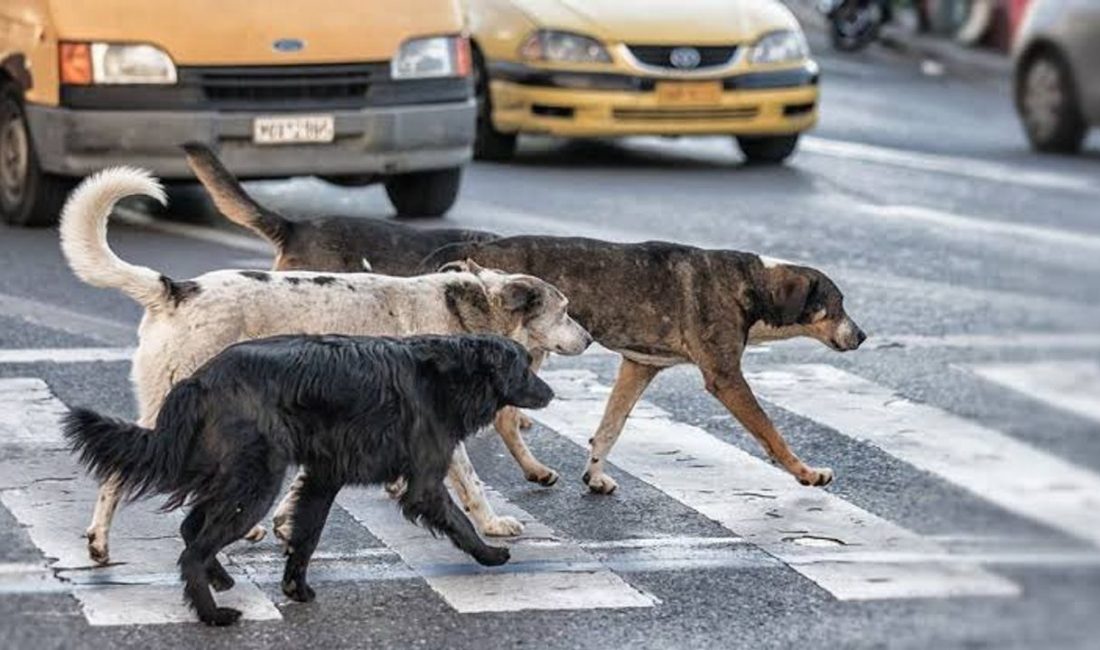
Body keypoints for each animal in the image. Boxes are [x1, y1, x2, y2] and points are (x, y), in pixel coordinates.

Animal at [60, 169, 594, 563]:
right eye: (565, 310)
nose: (590, 338)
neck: (468, 314)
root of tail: (175, 289)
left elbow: (302, 485)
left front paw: (284, 522)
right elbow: (472, 483)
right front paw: (492, 525)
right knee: (121, 470)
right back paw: (100, 542)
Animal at [64, 332, 554, 629]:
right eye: (525, 366)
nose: (551, 393)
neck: (451, 373)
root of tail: (199, 379)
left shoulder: (323, 478)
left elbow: (306, 536)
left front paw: (294, 588)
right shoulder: (425, 483)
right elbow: (460, 520)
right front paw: (489, 554)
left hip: (237, 476)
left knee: (191, 528)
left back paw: (220, 579)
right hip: (257, 481)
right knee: (193, 548)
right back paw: (212, 614)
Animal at [184, 145, 862, 494]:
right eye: (836, 304)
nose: (862, 335)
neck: (753, 283)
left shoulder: (637, 366)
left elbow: (609, 428)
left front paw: (596, 474)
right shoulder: (724, 377)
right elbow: (769, 431)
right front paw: (806, 471)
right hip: (522, 349)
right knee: (505, 418)